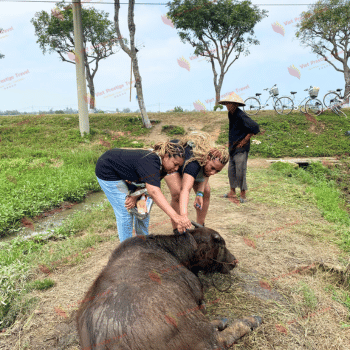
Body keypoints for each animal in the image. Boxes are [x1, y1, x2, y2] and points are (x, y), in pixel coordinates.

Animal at [77, 226, 262, 348]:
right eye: (222, 245)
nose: (234, 261)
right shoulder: (196, 288)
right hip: (196, 328)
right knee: (220, 339)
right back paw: (249, 320)